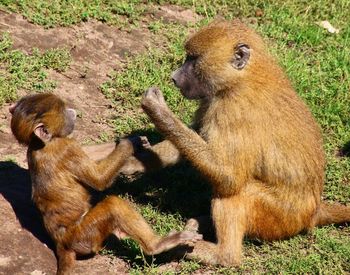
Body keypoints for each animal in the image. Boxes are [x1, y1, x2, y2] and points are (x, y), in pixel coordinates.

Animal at [9, 94, 202, 274]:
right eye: (63, 111)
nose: (73, 112)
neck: (40, 143)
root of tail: (62, 243)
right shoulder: (66, 148)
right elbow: (99, 179)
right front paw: (129, 143)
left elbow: (89, 154)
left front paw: (136, 140)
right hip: (85, 235)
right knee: (113, 205)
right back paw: (157, 245)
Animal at [118, 20, 350, 268]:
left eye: (193, 59)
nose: (174, 77)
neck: (241, 78)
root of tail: (313, 212)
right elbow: (198, 134)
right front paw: (134, 162)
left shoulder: (233, 113)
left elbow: (229, 177)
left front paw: (157, 110)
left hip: (280, 216)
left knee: (240, 191)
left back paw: (216, 253)